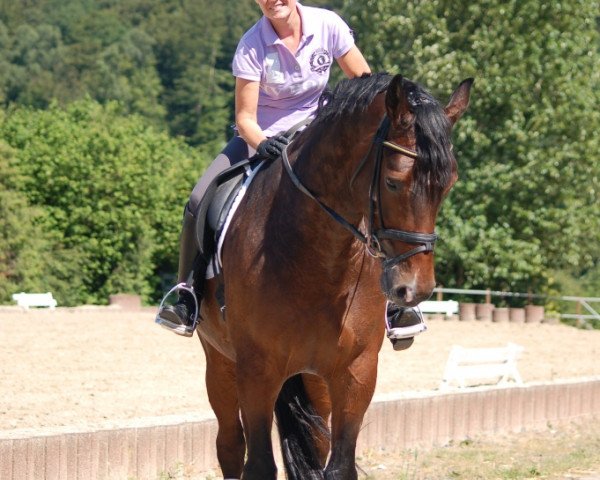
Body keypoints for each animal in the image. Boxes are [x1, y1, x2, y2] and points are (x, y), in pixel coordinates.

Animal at [195, 72, 472, 480]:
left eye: (448, 184)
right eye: (393, 182)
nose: (414, 289)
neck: (317, 258)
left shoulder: (356, 372)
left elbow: (339, 465)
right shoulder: (257, 371)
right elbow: (258, 464)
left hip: (314, 381)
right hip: (221, 363)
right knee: (229, 444)